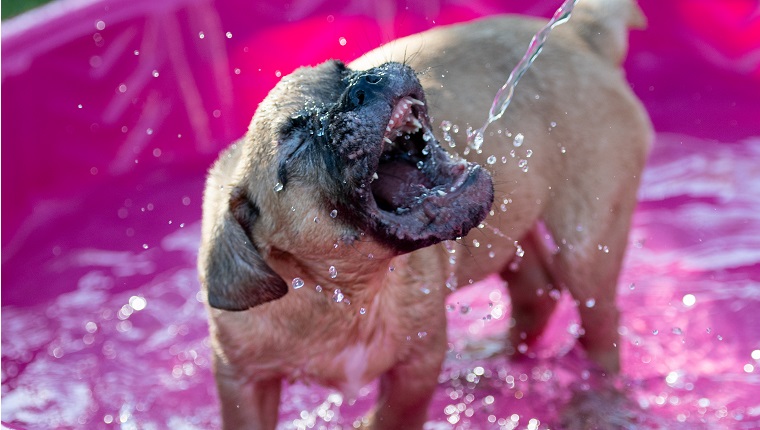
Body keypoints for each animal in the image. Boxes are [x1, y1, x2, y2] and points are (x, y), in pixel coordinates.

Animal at [197, 0, 652, 426]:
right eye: (294, 147)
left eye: (343, 70)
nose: (365, 84)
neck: (345, 292)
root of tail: (583, 31)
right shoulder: (242, 380)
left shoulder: (417, 365)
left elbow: (390, 418)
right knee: (540, 291)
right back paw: (496, 359)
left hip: (588, 243)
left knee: (599, 332)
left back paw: (595, 403)